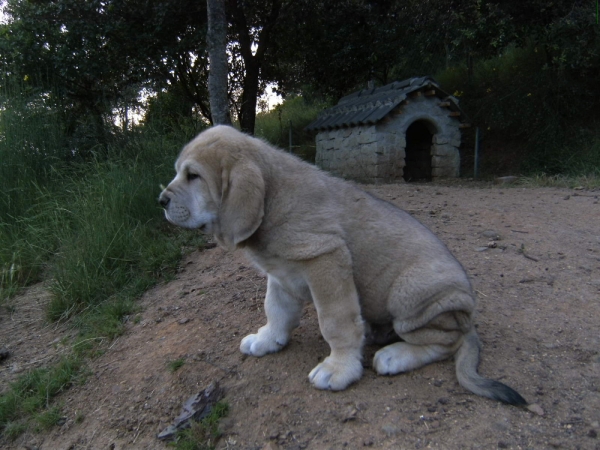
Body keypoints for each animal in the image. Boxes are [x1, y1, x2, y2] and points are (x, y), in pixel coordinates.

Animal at [159, 125, 524, 404]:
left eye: (193, 176)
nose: (160, 200)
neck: (271, 197)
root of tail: (468, 316)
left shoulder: (326, 260)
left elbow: (335, 323)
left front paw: (339, 369)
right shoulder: (281, 275)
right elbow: (275, 311)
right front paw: (268, 339)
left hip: (410, 296)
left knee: (447, 341)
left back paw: (395, 354)